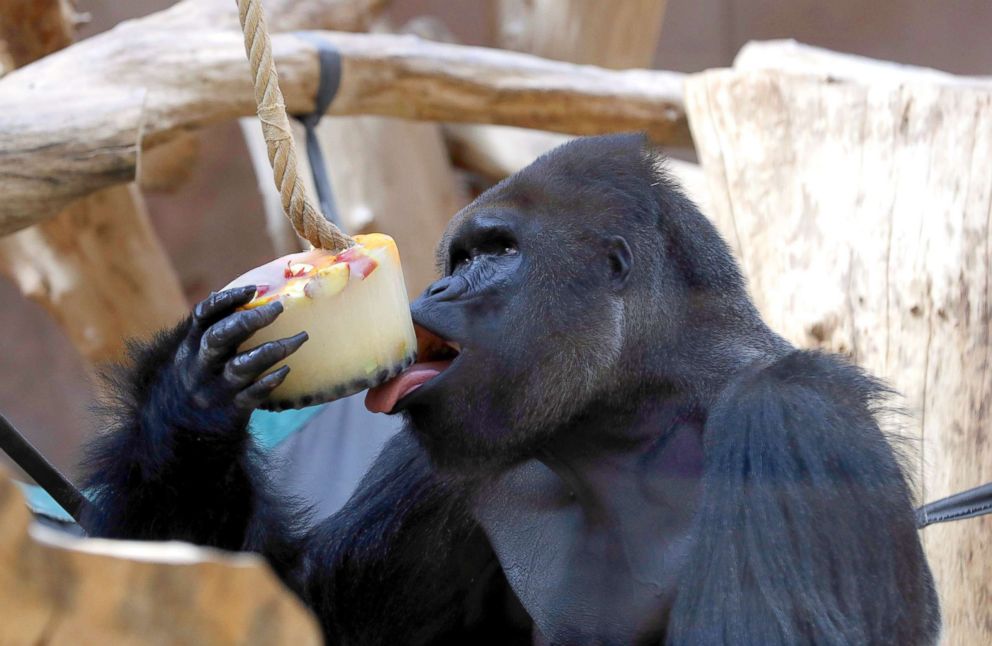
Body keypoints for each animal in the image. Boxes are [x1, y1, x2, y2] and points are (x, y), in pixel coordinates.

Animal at [79, 134, 936, 644]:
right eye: (454, 260)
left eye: (494, 254)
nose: (433, 291)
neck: (631, 411)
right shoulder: (447, 463)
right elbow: (295, 603)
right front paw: (186, 406)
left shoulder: (794, 420)